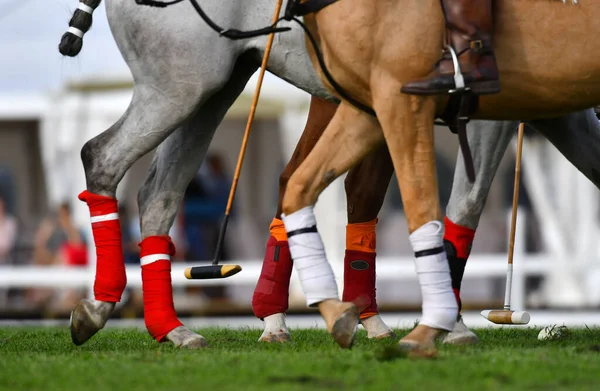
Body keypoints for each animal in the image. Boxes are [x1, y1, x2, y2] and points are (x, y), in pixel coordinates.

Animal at [62, 0, 600, 350]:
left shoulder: (560, 108)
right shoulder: (483, 103)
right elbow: (464, 206)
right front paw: (453, 326)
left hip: (216, 85)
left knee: (161, 191)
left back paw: (173, 328)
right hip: (179, 84)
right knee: (101, 155)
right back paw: (106, 307)